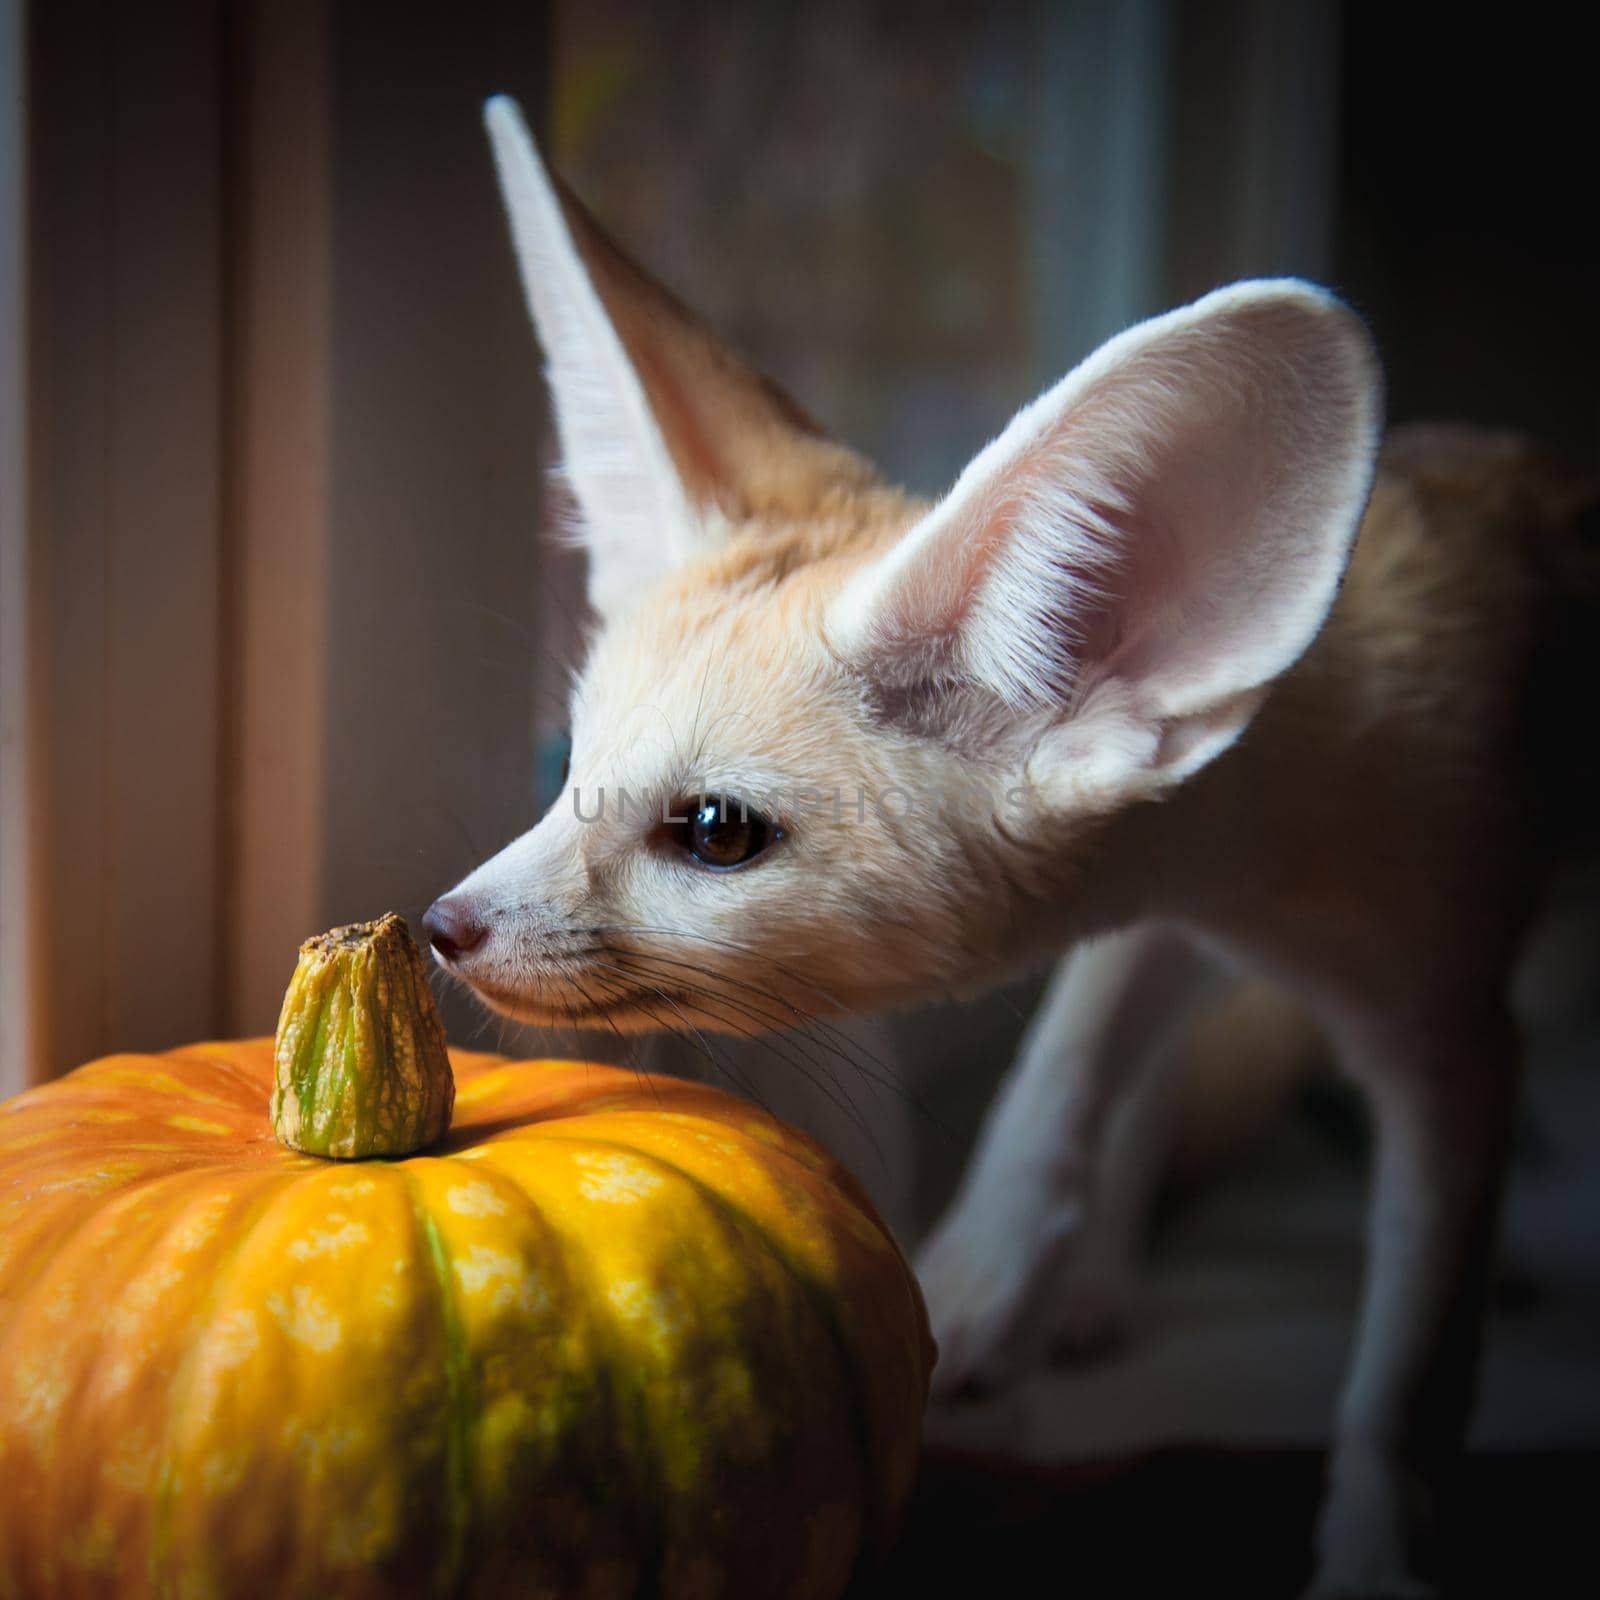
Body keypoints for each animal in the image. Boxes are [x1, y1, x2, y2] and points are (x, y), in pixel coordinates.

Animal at [419, 100, 1593, 1600]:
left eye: (715, 831)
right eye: (572, 771)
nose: (441, 926)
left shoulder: (1446, 1023)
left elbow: (1408, 1369)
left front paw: (1381, 1553)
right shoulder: (1178, 912)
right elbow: (1061, 1077)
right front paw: (973, 1292)